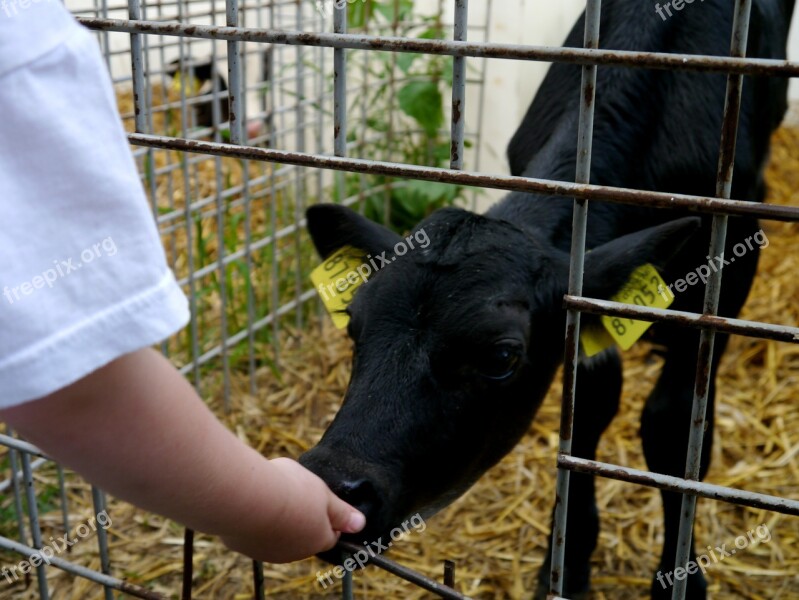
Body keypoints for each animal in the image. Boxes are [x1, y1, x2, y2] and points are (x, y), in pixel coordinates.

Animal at [298, 2, 792, 596]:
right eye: (353, 327)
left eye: (501, 356)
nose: (330, 485)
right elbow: (587, 412)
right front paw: (569, 560)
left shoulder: (735, 260)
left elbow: (673, 426)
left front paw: (679, 579)